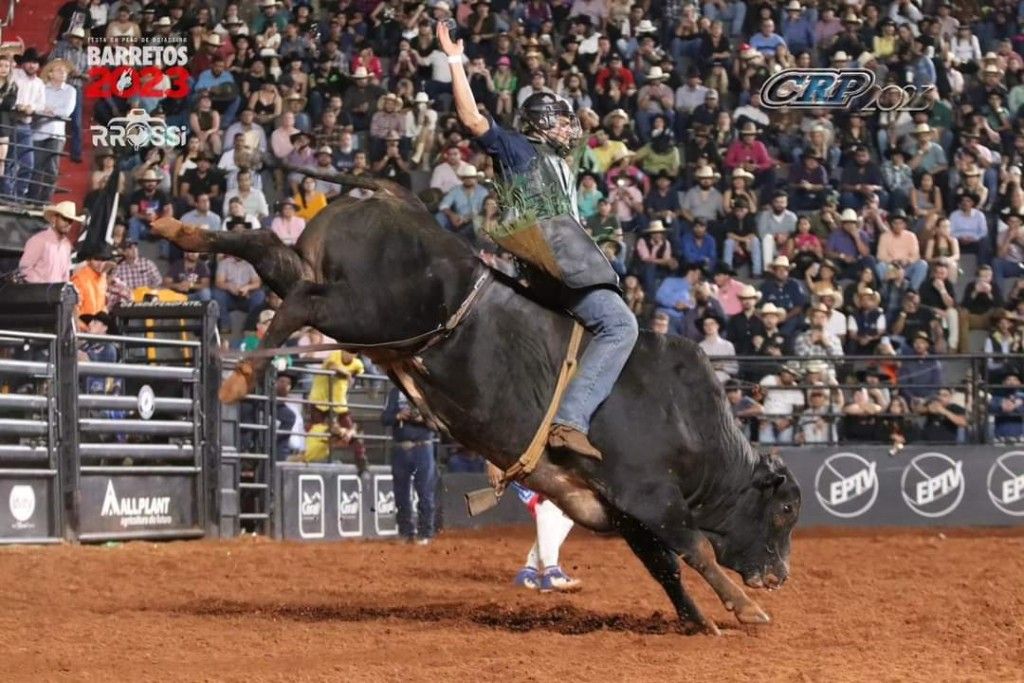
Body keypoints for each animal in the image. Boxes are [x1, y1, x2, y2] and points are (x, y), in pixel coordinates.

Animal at [151, 184, 798, 634]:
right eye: (787, 510)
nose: (781, 576)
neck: (690, 427)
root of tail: (394, 202)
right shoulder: (649, 495)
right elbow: (696, 548)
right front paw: (745, 609)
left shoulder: (622, 510)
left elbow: (664, 565)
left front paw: (699, 620)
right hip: (363, 312)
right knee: (302, 303)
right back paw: (239, 376)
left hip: (328, 285)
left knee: (267, 253)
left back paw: (179, 231)